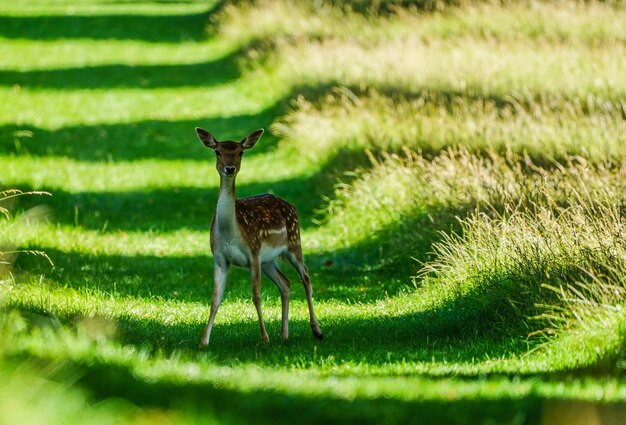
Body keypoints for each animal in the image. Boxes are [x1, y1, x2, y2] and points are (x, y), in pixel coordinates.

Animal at [194, 127, 322, 346]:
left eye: (240, 152)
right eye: (217, 151)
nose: (229, 168)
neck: (230, 232)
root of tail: (292, 206)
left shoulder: (253, 252)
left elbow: (256, 296)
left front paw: (264, 337)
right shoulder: (219, 258)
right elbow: (214, 299)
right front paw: (203, 341)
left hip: (294, 242)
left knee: (305, 276)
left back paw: (316, 330)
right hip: (268, 260)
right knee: (285, 283)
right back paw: (284, 334)